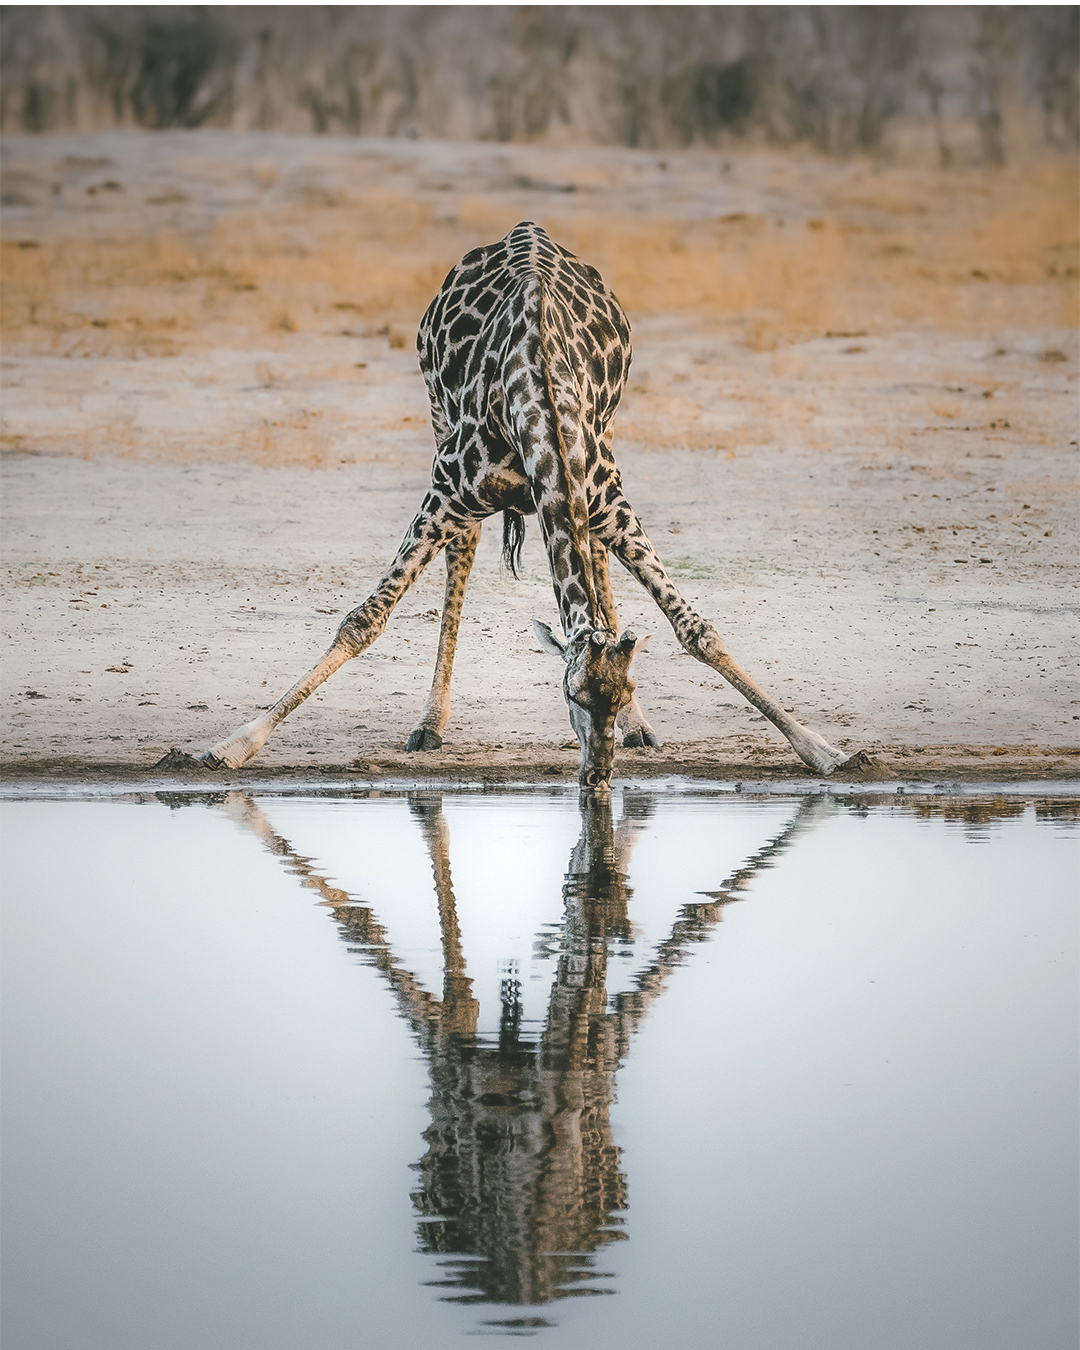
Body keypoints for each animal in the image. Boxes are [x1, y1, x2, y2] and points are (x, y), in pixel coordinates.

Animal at [198, 222, 853, 787]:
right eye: (570, 695)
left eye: (614, 694)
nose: (597, 777)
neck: (537, 401)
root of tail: (525, 228)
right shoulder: (447, 492)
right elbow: (364, 620)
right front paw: (232, 746)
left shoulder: (605, 496)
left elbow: (695, 629)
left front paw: (824, 750)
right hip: (437, 420)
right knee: (463, 553)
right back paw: (430, 723)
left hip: (601, 453)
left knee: (599, 565)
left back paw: (642, 727)